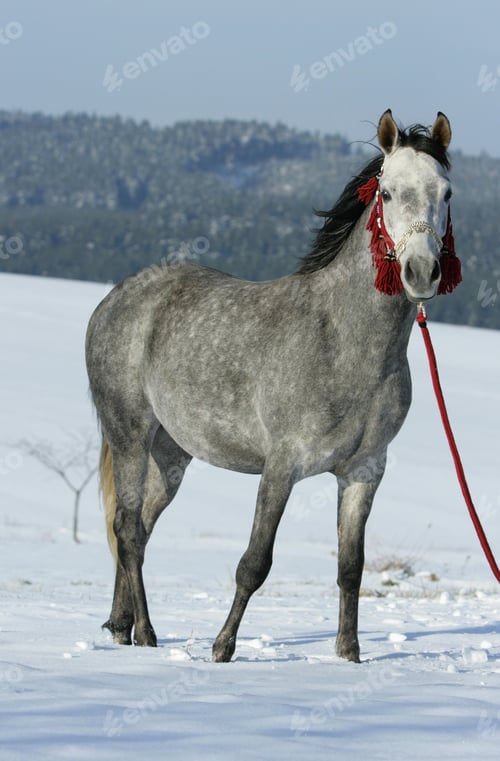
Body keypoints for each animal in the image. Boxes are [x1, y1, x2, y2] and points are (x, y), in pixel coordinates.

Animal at [86, 109, 460, 662]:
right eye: (389, 193)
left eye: (446, 193)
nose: (421, 271)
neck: (342, 341)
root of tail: (115, 298)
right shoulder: (282, 466)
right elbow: (254, 563)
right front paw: (222, 649)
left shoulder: (364, 472)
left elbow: (351, 567)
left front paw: (349, 656)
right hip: (130, 437)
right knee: (128, 531)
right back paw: (148, 635)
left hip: (171, 453)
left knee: (142, 530)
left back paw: (121, 627)